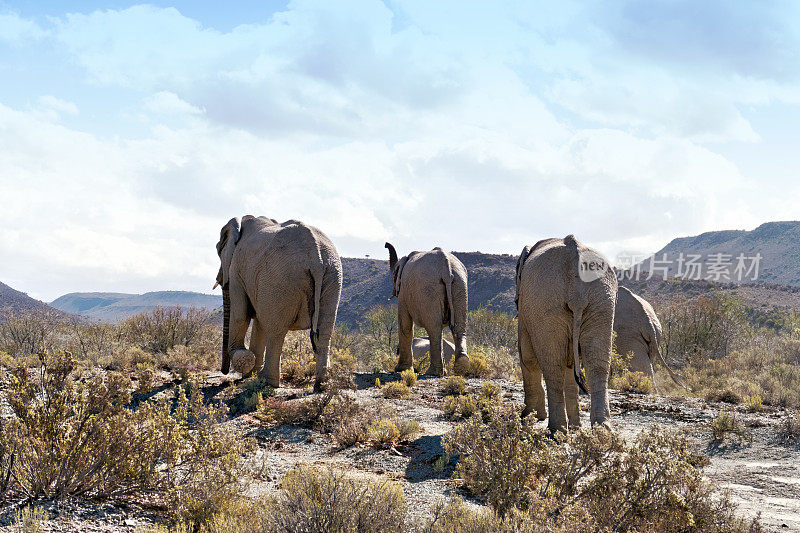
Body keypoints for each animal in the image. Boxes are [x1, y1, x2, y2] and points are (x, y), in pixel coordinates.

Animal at [216, 213, 344, 390]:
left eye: (218, 250)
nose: (224, 372)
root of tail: (316, 258)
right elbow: (258, 320)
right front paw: (249, 373)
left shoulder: (236, 269)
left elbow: (241, 316)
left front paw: (246, 363)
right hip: (332, 276)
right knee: (324, 332)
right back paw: (321, 385)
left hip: (281, 280)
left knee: (275, 331)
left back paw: (266, 381)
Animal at [386, 243, 468, 376]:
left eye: (394, 275)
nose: (385, 244)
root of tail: (446, 268)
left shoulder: (403, 291)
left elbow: (405, 325)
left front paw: (401, 370)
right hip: (460, 285)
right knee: (459, 327)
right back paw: (461, 367)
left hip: (429, 290)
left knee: (434, 328)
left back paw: (433, 372)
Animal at [516, 235, 616, 430]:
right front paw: (576, 426)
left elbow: (527, 357)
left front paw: (528, 417)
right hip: (602, 299)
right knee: (598, 363)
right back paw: (602, 430)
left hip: (545, 299)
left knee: (552, 365)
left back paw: (556, 431)